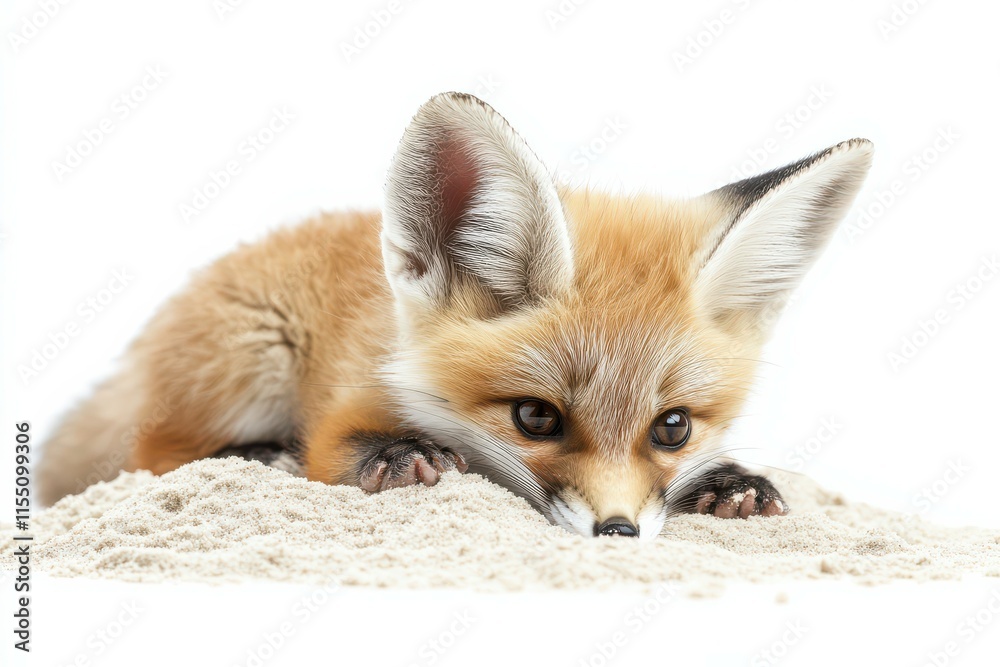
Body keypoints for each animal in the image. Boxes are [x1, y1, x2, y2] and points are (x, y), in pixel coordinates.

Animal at [37, 92, 873, 539]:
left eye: (672, 427)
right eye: (535, 417)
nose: (618, 532)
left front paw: (730, 481)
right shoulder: (345, 401)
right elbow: (341, 448)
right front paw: (399, 456)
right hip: (249, 358)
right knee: (153, 453)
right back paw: (256, 455)